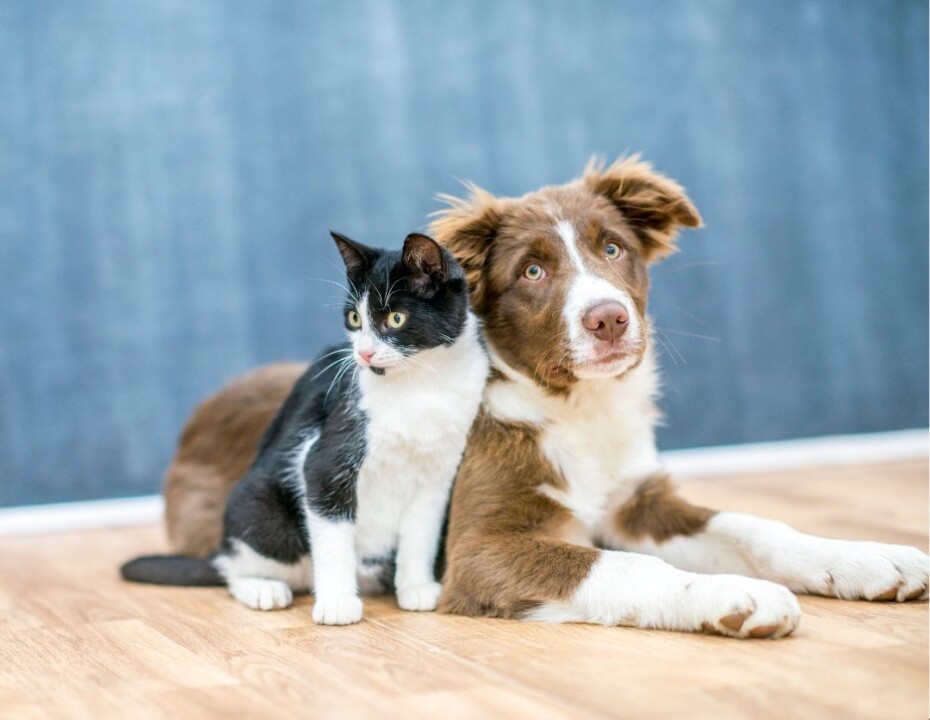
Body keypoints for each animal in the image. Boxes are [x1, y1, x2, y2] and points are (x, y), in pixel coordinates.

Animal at [119, 232, 490, 624]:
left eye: (396, 318)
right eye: (355, 318)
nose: (364, 354)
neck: (420, 385)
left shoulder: (438, 475)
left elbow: (421, 534)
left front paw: (416, 587)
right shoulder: (325, 460)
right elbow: (333, 534)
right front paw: (337, 603)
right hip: (262, 513)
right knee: (232, 567)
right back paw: (262, 588)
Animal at [163, 156, 924, 636]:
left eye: (613, 249)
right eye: (532, 271)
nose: (609, 319)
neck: (575, 410)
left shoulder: (638, 500)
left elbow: (754, 527)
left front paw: (868, 559)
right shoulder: (481, 547)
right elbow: (622, 566)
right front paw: (729, 594)